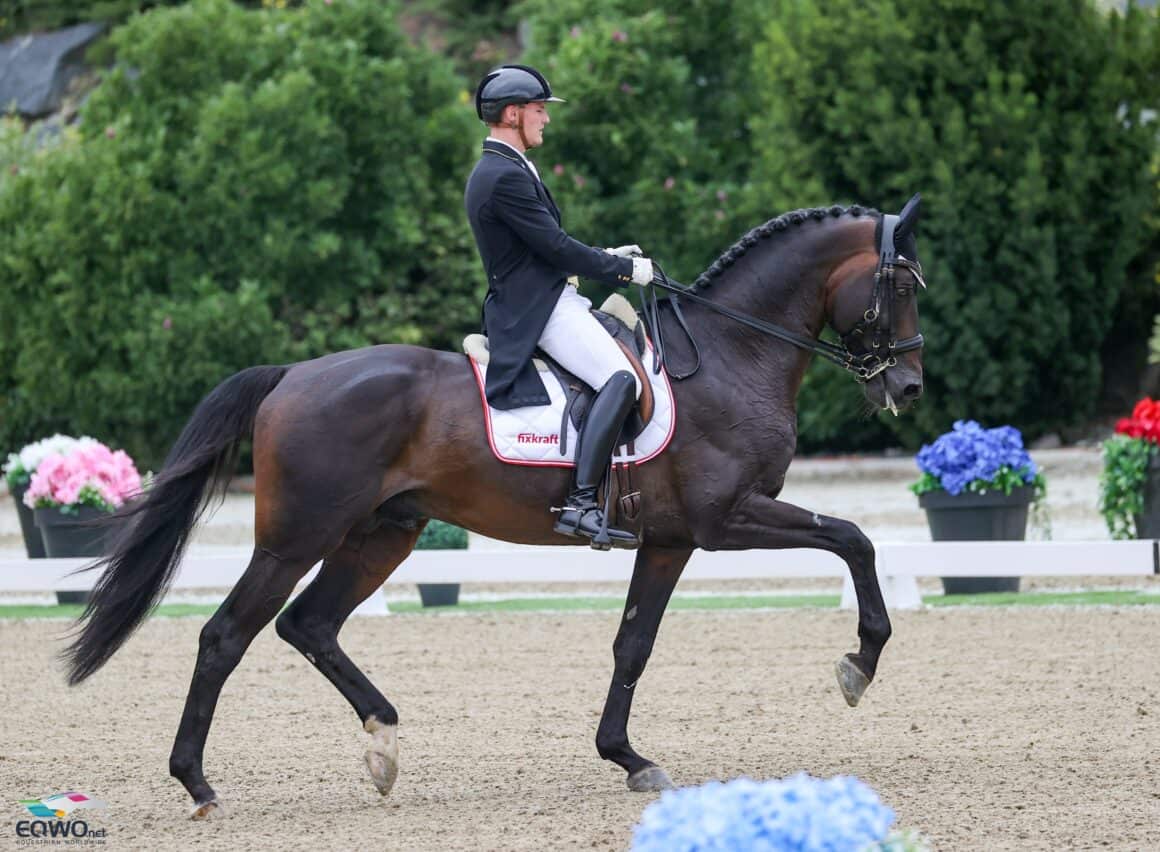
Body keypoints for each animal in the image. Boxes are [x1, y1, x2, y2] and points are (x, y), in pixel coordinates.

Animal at [63, 197, 923, 817]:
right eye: (902, 287)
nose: (907, 387)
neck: (726, 356)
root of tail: (290, 377)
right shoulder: (729, 518)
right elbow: (854, 538)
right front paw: (860, 663)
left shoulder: (670, 539)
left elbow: (632, 645)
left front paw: (628, 758)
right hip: (295, 538)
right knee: (226, 636)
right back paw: (199, 784)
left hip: (383, 534)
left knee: (309, 625)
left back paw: (384, 742)